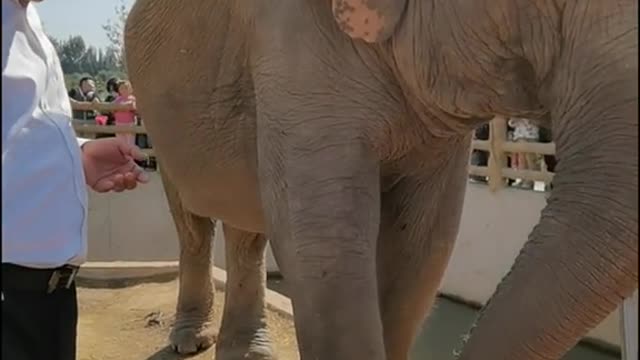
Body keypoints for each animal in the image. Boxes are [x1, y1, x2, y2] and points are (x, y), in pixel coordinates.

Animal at [124, 0, 636, 360]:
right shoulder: (293, 48)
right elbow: (325, 240)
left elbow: (423, 243)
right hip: (156, 111)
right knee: (193, 221)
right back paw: (190, 342)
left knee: (245, 229)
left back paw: (249, 353)